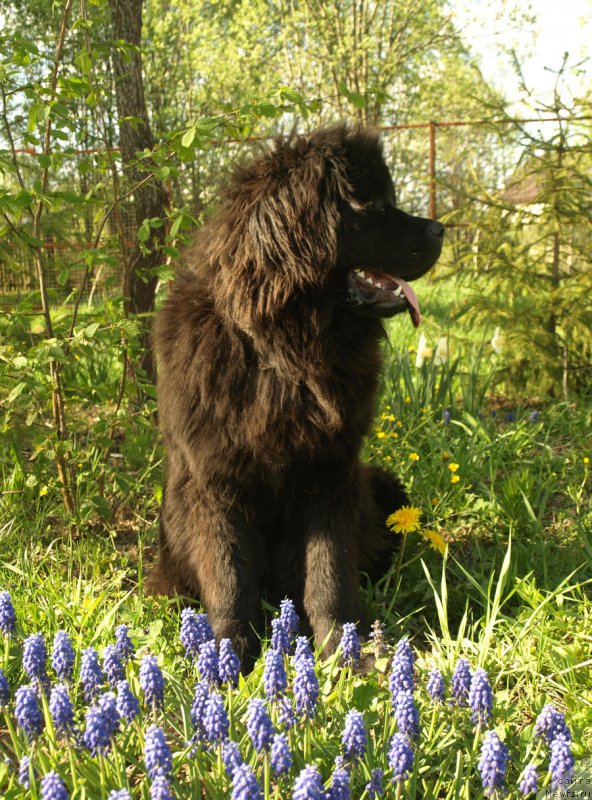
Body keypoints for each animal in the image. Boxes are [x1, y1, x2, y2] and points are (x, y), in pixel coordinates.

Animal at [147, 123, 444, 664]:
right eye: (373, 205)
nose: (441, 229)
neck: (284, 348)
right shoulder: (215, 482)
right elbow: (229, 574)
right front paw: (229, 652)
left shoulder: (331, 473)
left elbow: (329, 571)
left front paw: (343, 648)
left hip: (386, 486)